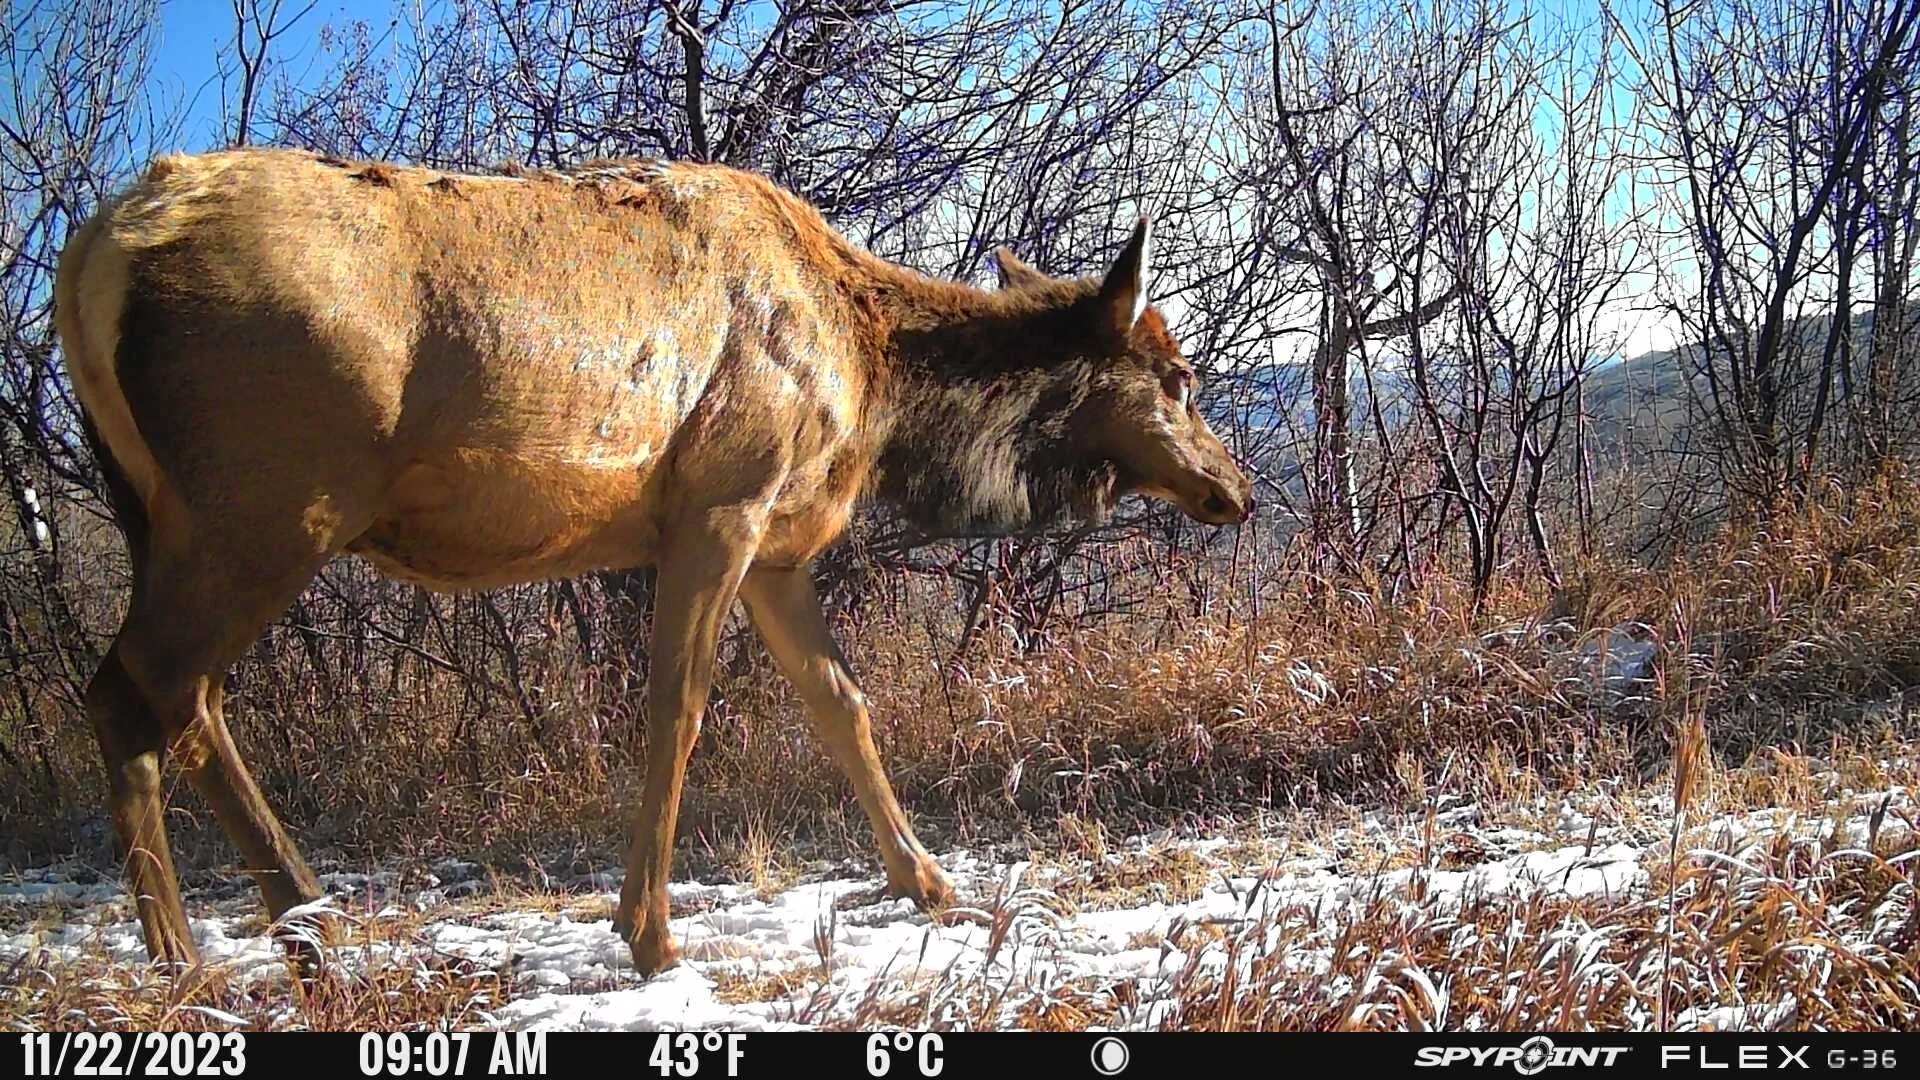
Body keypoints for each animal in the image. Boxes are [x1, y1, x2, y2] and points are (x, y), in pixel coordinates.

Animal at [53, 148, 1254, 975]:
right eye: (1178, 375)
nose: (1234, 490)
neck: (873, 391)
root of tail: (87, 259)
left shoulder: (777, 548)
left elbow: (842, 703)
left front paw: (930, 880)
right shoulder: (722, 500)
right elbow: (678, 706)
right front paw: (649, 934)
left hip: (170, 513)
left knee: (168, 696)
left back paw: (248, 938)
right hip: (271, 499)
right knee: (145, 687)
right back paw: (244, 948)